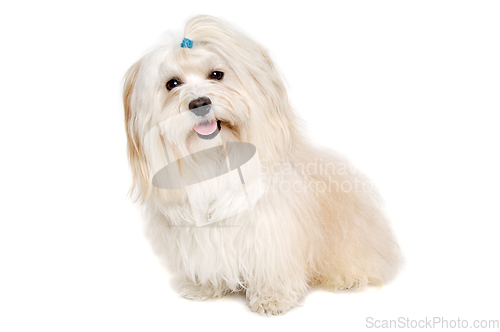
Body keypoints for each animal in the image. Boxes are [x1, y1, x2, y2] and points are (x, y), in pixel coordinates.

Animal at [125, 15, 402, 316]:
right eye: (172, 84)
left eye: (216, 75)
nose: (200, 103)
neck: (216, 157)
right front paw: (204, 287)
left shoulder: (271, 230)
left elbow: (272, 264)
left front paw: (272, 297)